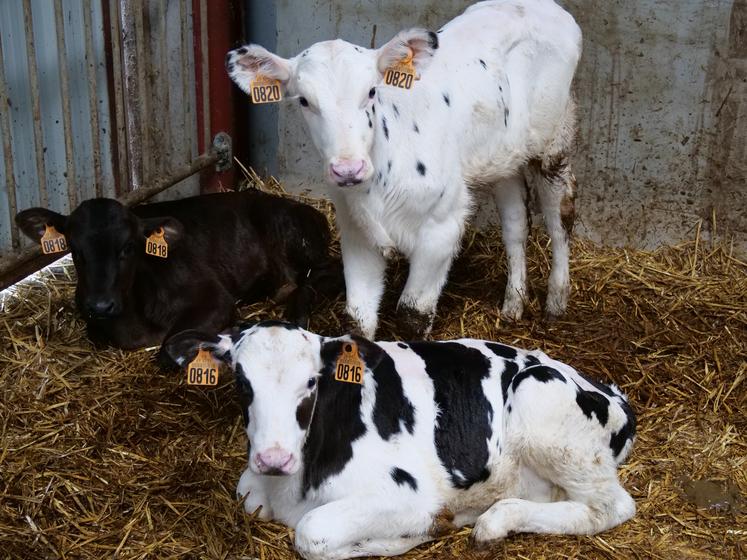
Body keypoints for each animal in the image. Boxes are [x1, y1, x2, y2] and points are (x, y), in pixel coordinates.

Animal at [16, 190, 342, 360]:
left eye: (128, 247)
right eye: (75, 249)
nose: (100, 305)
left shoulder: (215, 298)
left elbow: (169, 347)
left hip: (294, 238)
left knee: (329, 271)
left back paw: (298, 310)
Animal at [165, 322, 636, 560]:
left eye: (312, 382)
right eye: (242, 383)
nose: (274, 458)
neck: (290, 488)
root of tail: (610, 390)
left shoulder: (407, 493)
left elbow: (312, 534)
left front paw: (408, 536)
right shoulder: (252, 488)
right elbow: (251, 496)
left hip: (538, 393)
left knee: (612, 506)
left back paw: (492, 523)